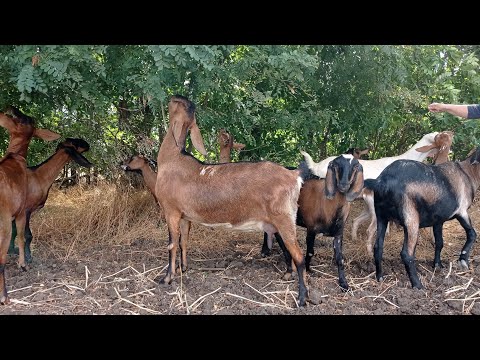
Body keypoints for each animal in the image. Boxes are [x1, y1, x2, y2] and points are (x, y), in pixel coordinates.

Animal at [0, 107, 59, 304]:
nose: (11, 108)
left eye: (26, 119)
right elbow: (21, 236)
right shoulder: (20, 212)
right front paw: (23, 264)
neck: (14, 157)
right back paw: (5, 296)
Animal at [156, 95, 310, 306]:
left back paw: (302, 298)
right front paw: (183, 268)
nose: (172, 97)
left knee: (300, 257)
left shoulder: (170, 210)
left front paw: (167, 278)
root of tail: (294, 175)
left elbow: (171, 244)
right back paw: (289, 277)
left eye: (181, 104)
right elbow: (183, 242)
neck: (173, 160)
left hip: (284, 218)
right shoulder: (185, 216)